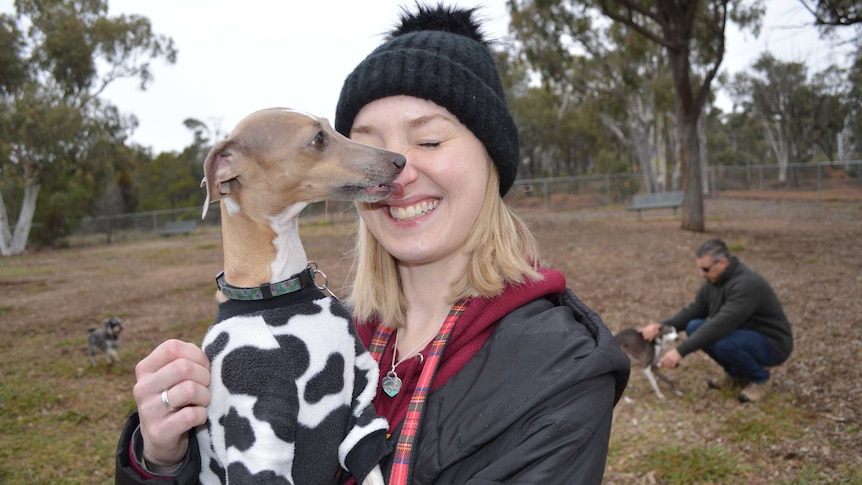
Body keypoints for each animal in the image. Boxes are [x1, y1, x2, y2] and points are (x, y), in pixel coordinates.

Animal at [199, 108, 404, 484]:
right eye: (318, 139)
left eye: (332, 128)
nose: (400, 160)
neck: (278, 291)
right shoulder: (258, 432)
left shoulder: (359, 401)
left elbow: (367, 455)